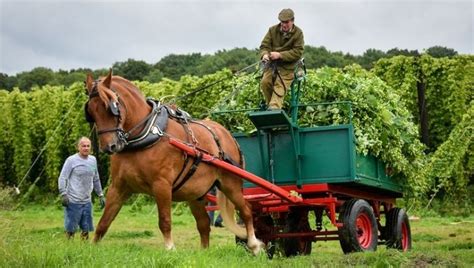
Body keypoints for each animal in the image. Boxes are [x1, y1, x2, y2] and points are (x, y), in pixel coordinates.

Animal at [84, 70, 264, 254]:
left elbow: (164, 220)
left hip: (230, 184)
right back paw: (204, 253)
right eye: (90, 111)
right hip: (196, 194)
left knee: (246, 211)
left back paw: (254, 245)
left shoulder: (162, 185)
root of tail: (228, 135)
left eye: (112, 107)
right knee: (204, 224)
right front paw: (92, 247)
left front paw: (170, 248)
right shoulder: (118, 187)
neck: (145, 134)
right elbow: (105, 221)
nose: (109, 147)